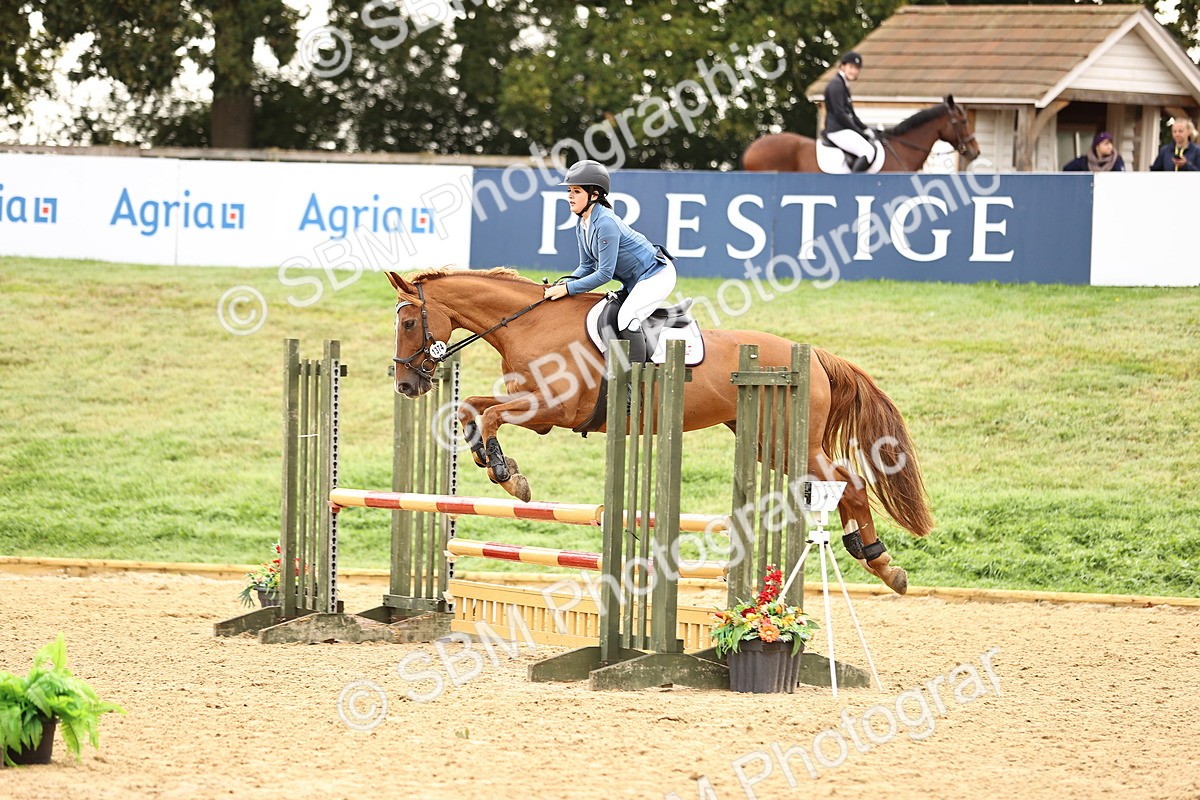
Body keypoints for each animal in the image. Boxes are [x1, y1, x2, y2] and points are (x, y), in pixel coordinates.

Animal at [386, 268, 934, 595]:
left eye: (409, 322)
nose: (407, 385)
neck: (528, 325)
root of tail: (812, 355)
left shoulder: (554, 408)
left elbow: (491, 414)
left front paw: (507, 474)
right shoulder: (537, 410)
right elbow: (472, 409)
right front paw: (493, 459)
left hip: (786, 437)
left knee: (851, 482)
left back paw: (883, 564)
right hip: (766, 443)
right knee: (842, 483)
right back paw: (871, 556)